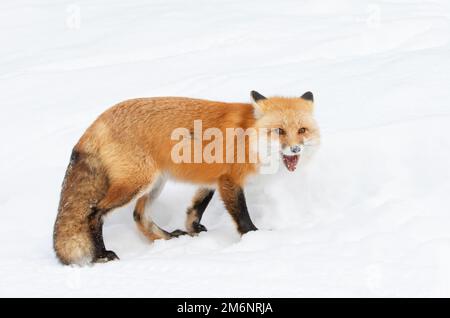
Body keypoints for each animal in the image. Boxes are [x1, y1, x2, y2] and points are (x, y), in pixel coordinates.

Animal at [53, 90, 320, 264]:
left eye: (302, 130)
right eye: (279, 131)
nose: (295, 149)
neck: (248, 136)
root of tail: (96, 122)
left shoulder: (211, 179)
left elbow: (195, 208)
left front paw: (194, 231)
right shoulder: (230, 181)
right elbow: (242, 217)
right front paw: (256, 239)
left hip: (155, 183)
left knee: (138, 215)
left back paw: (167, 238)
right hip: (136, 184)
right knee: (94, 213)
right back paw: (102, 255)